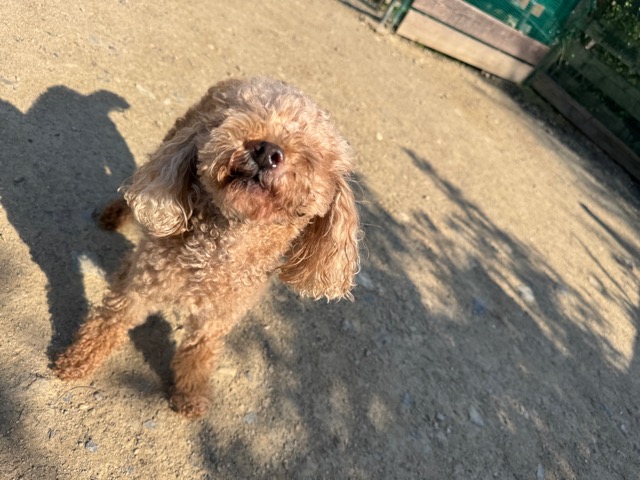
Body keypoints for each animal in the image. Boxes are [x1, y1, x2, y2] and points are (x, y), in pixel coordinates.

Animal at [53, 77, 361, 418]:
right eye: (239, 119)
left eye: (311, 153)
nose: (267, 150)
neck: (218, 251)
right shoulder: (140, 286)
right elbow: (109, 321)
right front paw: (77, 361)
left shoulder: (217, 316)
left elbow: (198, 351)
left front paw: (190, 395)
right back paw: (114, 215)